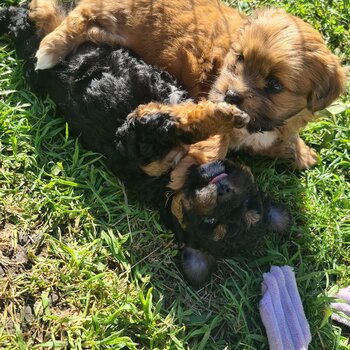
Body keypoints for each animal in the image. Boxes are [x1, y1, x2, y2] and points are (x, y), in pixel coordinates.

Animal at [0, 4, 290, 288]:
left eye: (213, 222)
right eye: (249, 199)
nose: (225, 190)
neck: (179, 175)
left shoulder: (135, 143)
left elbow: (174, 125)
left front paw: (224, 116)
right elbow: (182, 109)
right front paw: (230, 116)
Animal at [30, 0, 348, 170]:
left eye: (274, 84)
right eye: (240, 58)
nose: (230, 95)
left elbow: (283, 139)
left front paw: (301, 152)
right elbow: (213, 145)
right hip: (111, 14)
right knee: (79, 16)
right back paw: (49, 50)